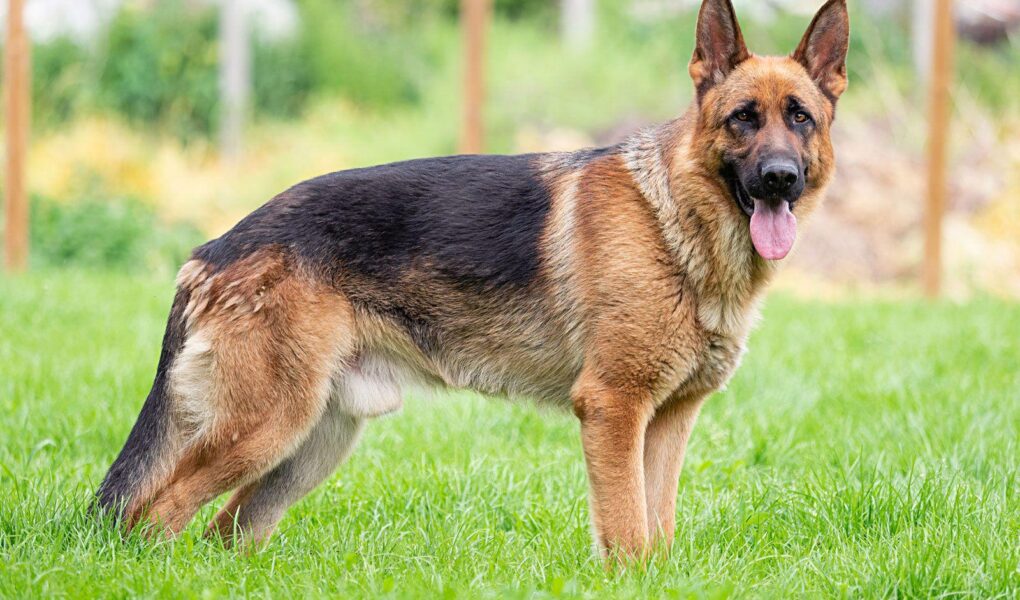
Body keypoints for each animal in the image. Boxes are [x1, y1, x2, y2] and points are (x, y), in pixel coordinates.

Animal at [95, 0, 848, 559]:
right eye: (742, 119)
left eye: (800, 118)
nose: (779, 178)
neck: (677, 221)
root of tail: (216, 245)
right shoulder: (613, 408)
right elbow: (629, 532)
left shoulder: (667, 421)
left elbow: (655, 528)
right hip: (265, 426)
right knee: (153, 514)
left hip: (314, 440)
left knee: (226, 532)